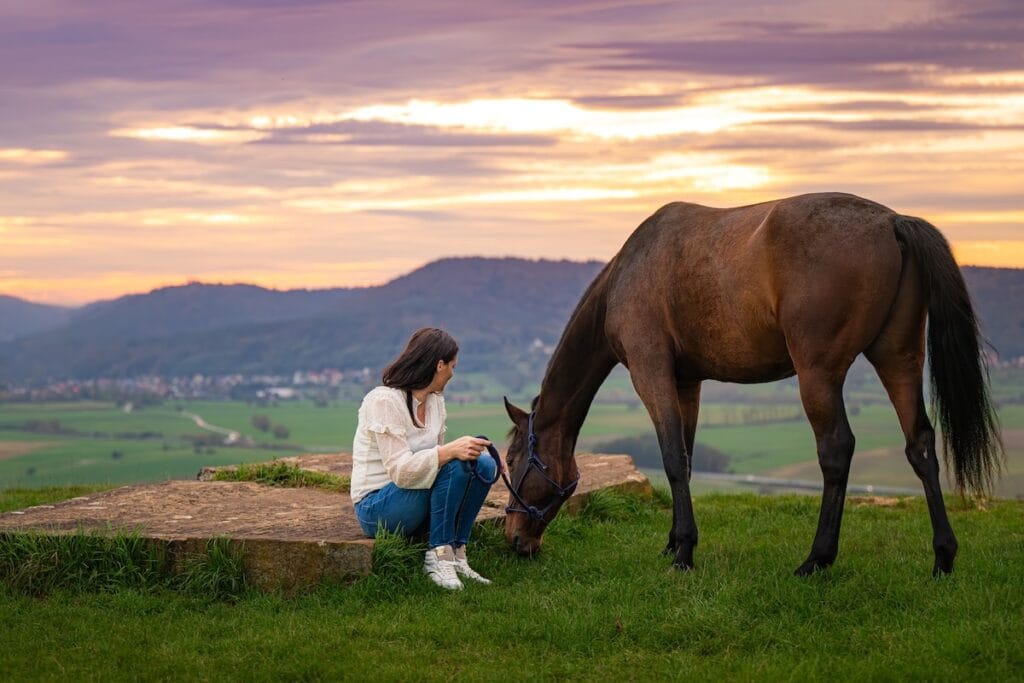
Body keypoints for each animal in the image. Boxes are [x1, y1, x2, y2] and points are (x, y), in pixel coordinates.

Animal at [501, 192, 1003, 576]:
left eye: (511, 459)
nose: (513, 539)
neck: (627, 274)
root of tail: (892, 222)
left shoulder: (651, 371)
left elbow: (673, 457)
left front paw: (683, 553)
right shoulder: (688, 383)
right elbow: (685, 454)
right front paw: (673, 542)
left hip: (819, 374)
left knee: (837, 450)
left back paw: (817, 560)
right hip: (897, 359)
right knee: (920, 445)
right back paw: (943, 557)